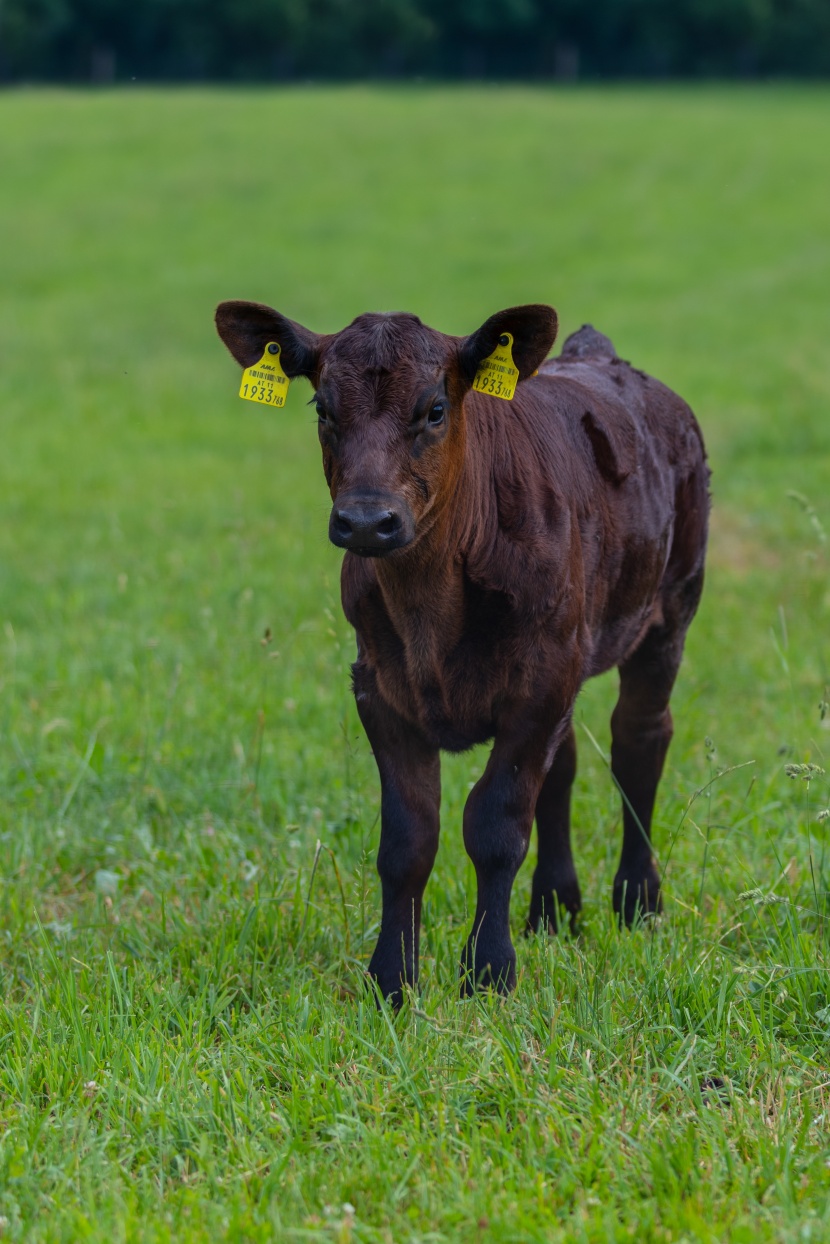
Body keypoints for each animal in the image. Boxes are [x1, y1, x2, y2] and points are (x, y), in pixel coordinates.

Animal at [214, 298, 706, 1000]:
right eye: (323, 410)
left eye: (435, 409)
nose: (366, 521)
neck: (432, 610)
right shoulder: (380, 689)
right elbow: (409, 839)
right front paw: (392, 979)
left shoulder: (541, 681)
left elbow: (495, 824)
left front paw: (490, 970)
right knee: (565, 766)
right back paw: (554, 909)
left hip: (668, 614)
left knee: (639, 740)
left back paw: (638, 900)